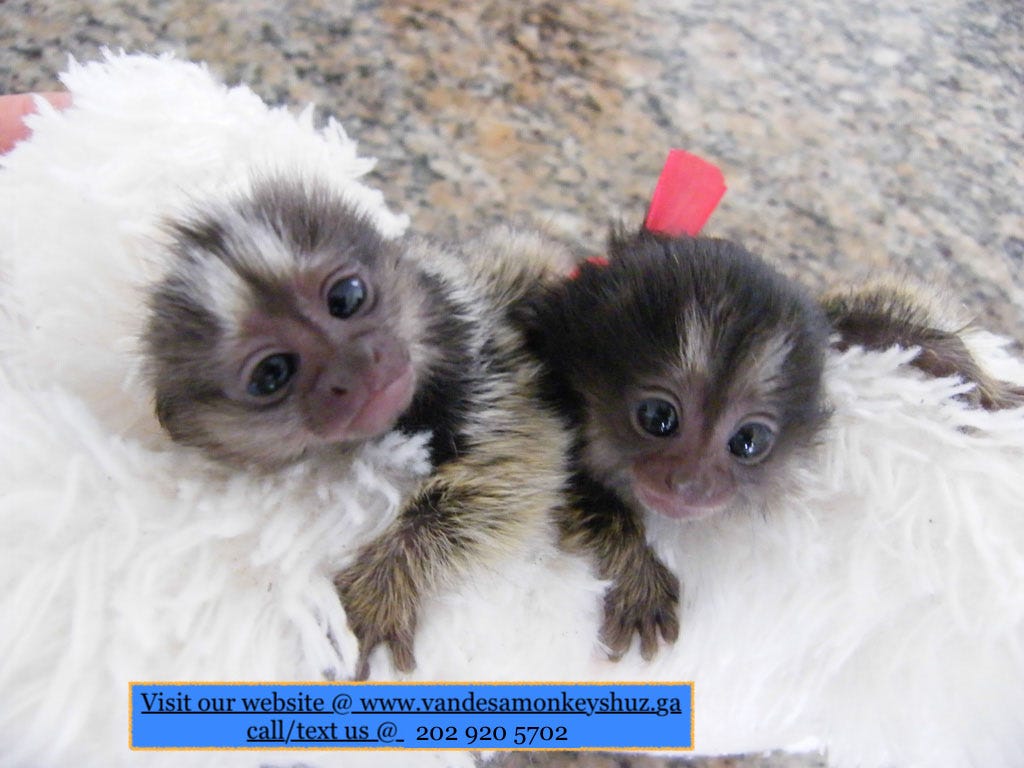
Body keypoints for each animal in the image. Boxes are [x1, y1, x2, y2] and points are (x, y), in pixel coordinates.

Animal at [143, 174, 572, 678]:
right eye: (272, 373)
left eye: (345, 298)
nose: (356, 364)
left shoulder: (484, 358)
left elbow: (511, 466)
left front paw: (382, 586)